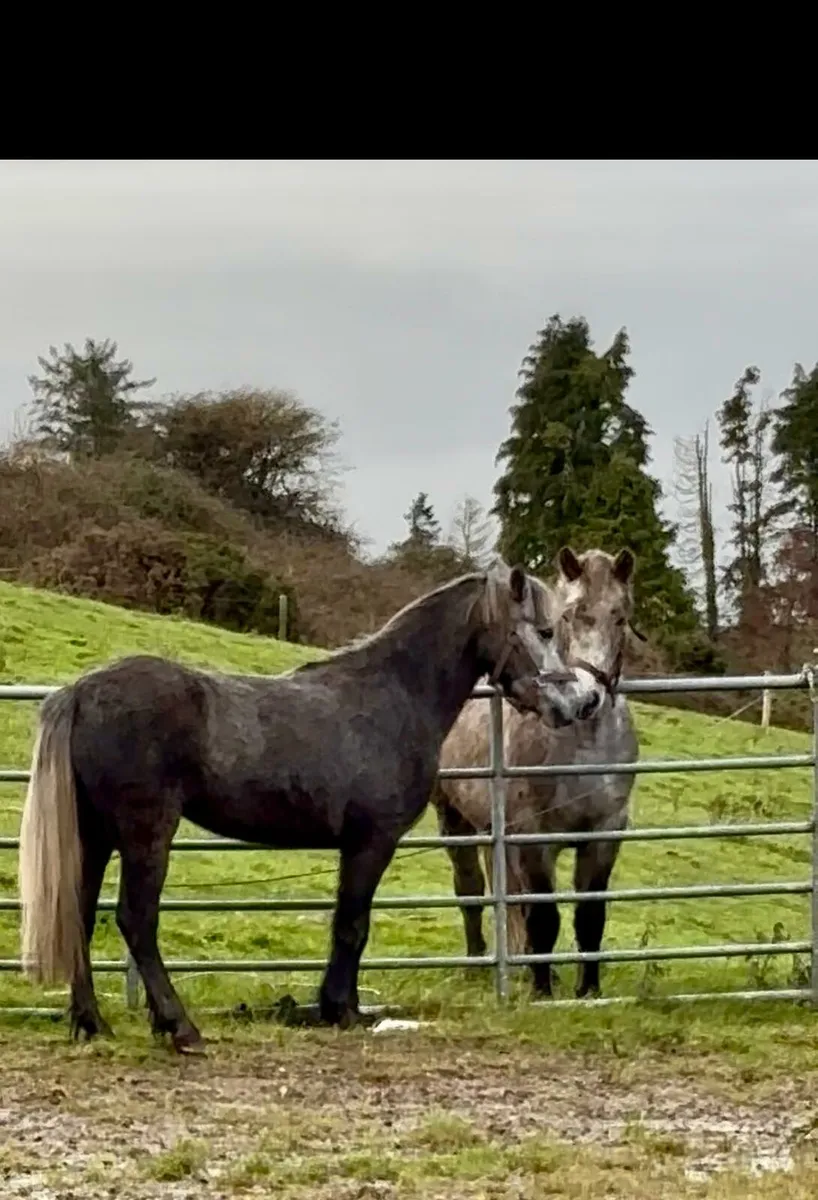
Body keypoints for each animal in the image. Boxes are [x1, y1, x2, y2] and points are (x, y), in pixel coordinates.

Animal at [18, 560, 603, 1053]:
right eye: (544, 631)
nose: (579, 703)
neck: (393, 695)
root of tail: (80, 692)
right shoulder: (372, 841)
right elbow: (353, 924)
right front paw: (340, 1009)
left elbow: (347, 922)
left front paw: (341, 1007)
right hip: (145, 835)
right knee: (136, 920)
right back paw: (179, 1027)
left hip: (94, 835)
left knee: (79, 912)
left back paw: (92, 1023)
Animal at [431, 547, 640, 999]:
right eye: (567, 617)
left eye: (620, 617)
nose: (588, 698)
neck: (583, 741)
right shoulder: (533, 835)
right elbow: (543, 918)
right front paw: (542, 992)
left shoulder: (605, 832)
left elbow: (589, 917)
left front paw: (588, 991)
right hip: (455, 820)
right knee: (472, 888)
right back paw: (478, 963)